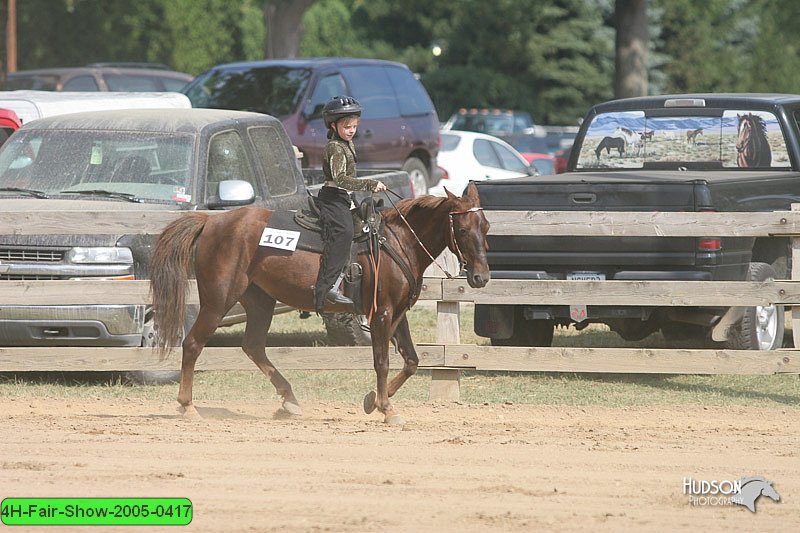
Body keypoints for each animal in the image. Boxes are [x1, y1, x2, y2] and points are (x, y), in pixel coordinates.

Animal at [147, 183, 490, 424]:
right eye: (461, 229)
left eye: (485, 226)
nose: (481, 277)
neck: (397, 242)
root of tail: (211, 222)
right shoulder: (381, 314)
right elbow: (382, 361)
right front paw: (386, 408)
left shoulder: (398, 313)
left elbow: (411, 361)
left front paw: (372, 400)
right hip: (219, 300)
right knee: (193, 343)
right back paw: (188, 406)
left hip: (259, 300)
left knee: (253, 346)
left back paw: (289, 400)